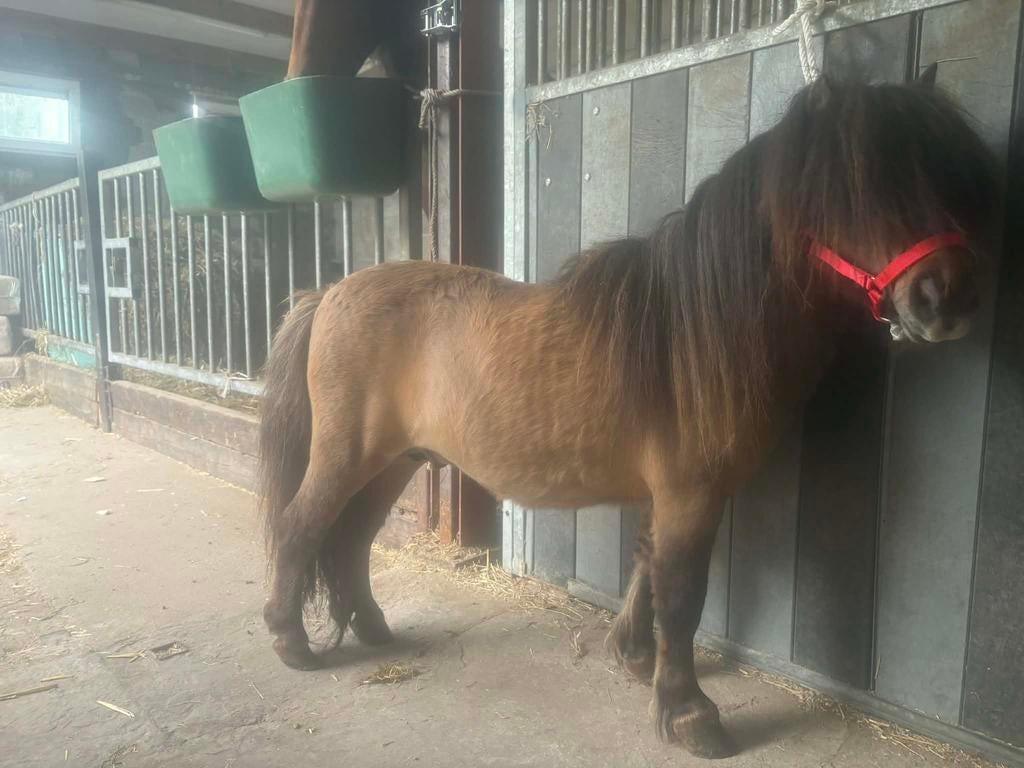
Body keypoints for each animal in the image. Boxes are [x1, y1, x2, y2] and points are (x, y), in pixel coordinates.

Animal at [258, 69, 997, 759]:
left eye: (943, 171)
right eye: (855, 185)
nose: (948, 298)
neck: (694, 330)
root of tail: (328, 294)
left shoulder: (673, 492)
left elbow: (648, 565)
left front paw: (637, 658)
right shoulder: (691, 492)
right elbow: (682, 594)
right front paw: (689, 713)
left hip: (394, 463)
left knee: (351, 541)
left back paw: (372, 627)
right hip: (347, 456)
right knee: (301, 527)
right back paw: (291, 641)